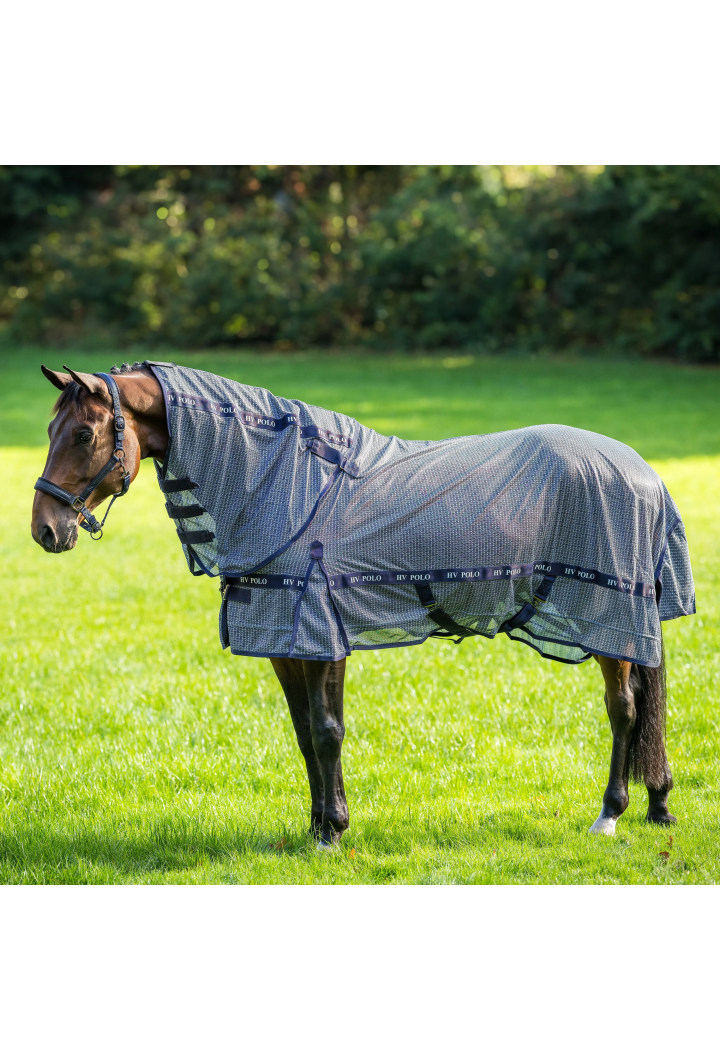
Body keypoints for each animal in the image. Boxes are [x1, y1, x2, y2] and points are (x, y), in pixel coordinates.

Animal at [31, 362, 691, 847]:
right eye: (49, 432)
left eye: (84, 434)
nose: (44, 530)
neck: (287, 483)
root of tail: (645, 473)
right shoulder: (284, 641)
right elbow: (304, 733)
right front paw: (318, 824)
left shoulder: (322, 634)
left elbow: (328, 731)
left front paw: (333, 833)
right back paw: (657, 803)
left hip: (607, 616)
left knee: (624, 709)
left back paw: (610, 813)